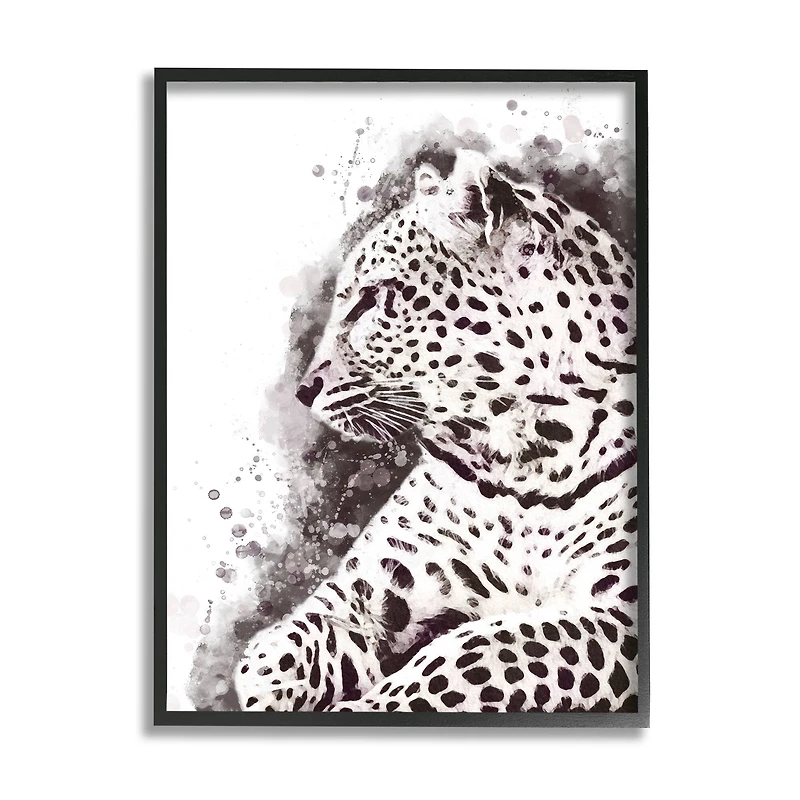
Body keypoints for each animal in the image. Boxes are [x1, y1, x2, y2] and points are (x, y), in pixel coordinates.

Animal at [234, 149, 638, 713]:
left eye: (375, 298)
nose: (304, 390)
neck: (521, 461)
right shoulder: (368, 593)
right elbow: (280, 648)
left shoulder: (616, 615)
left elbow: (473, 655)